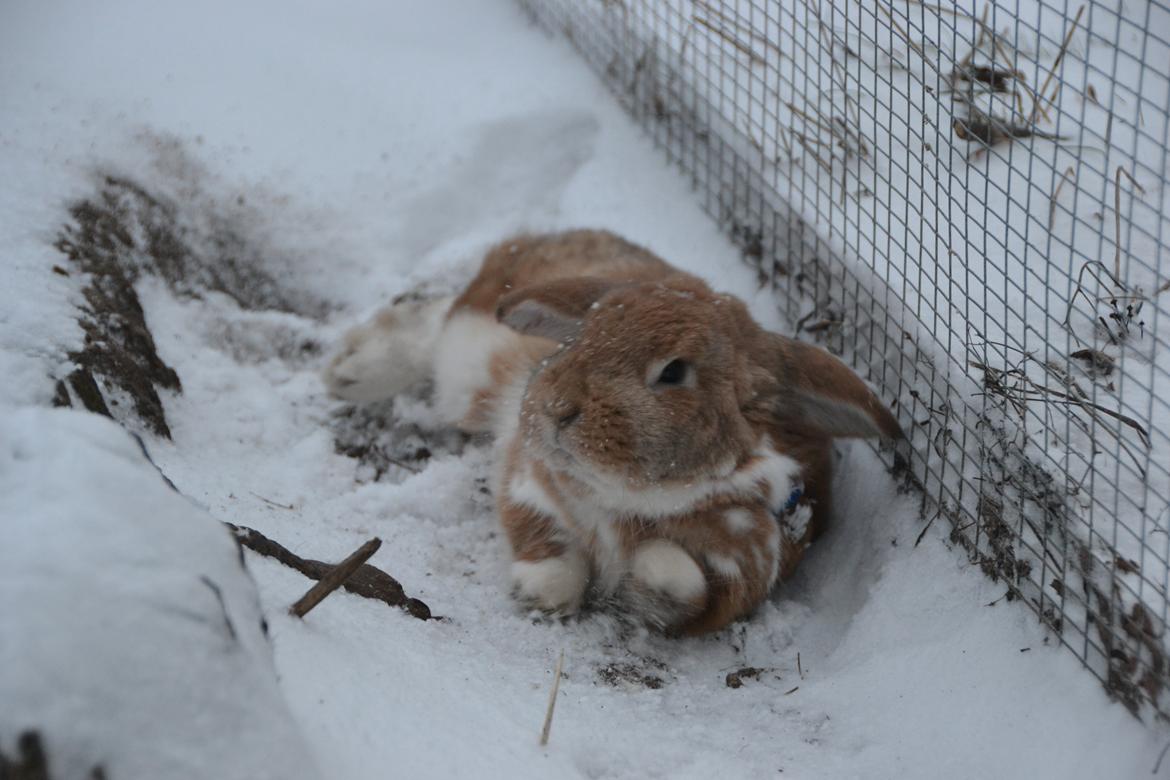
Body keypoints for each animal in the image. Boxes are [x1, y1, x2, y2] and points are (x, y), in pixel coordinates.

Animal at [322, 229, 903, 636]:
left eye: (673, 372)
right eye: (584, 334)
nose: (556, 409)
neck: (635, 499)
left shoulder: (744, 569)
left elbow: (685, 581)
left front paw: (647, 577)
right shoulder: (530, 480)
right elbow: (548, 546)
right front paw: (540, 595)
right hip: (475, 359)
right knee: (439, 324)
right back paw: (350, 369)